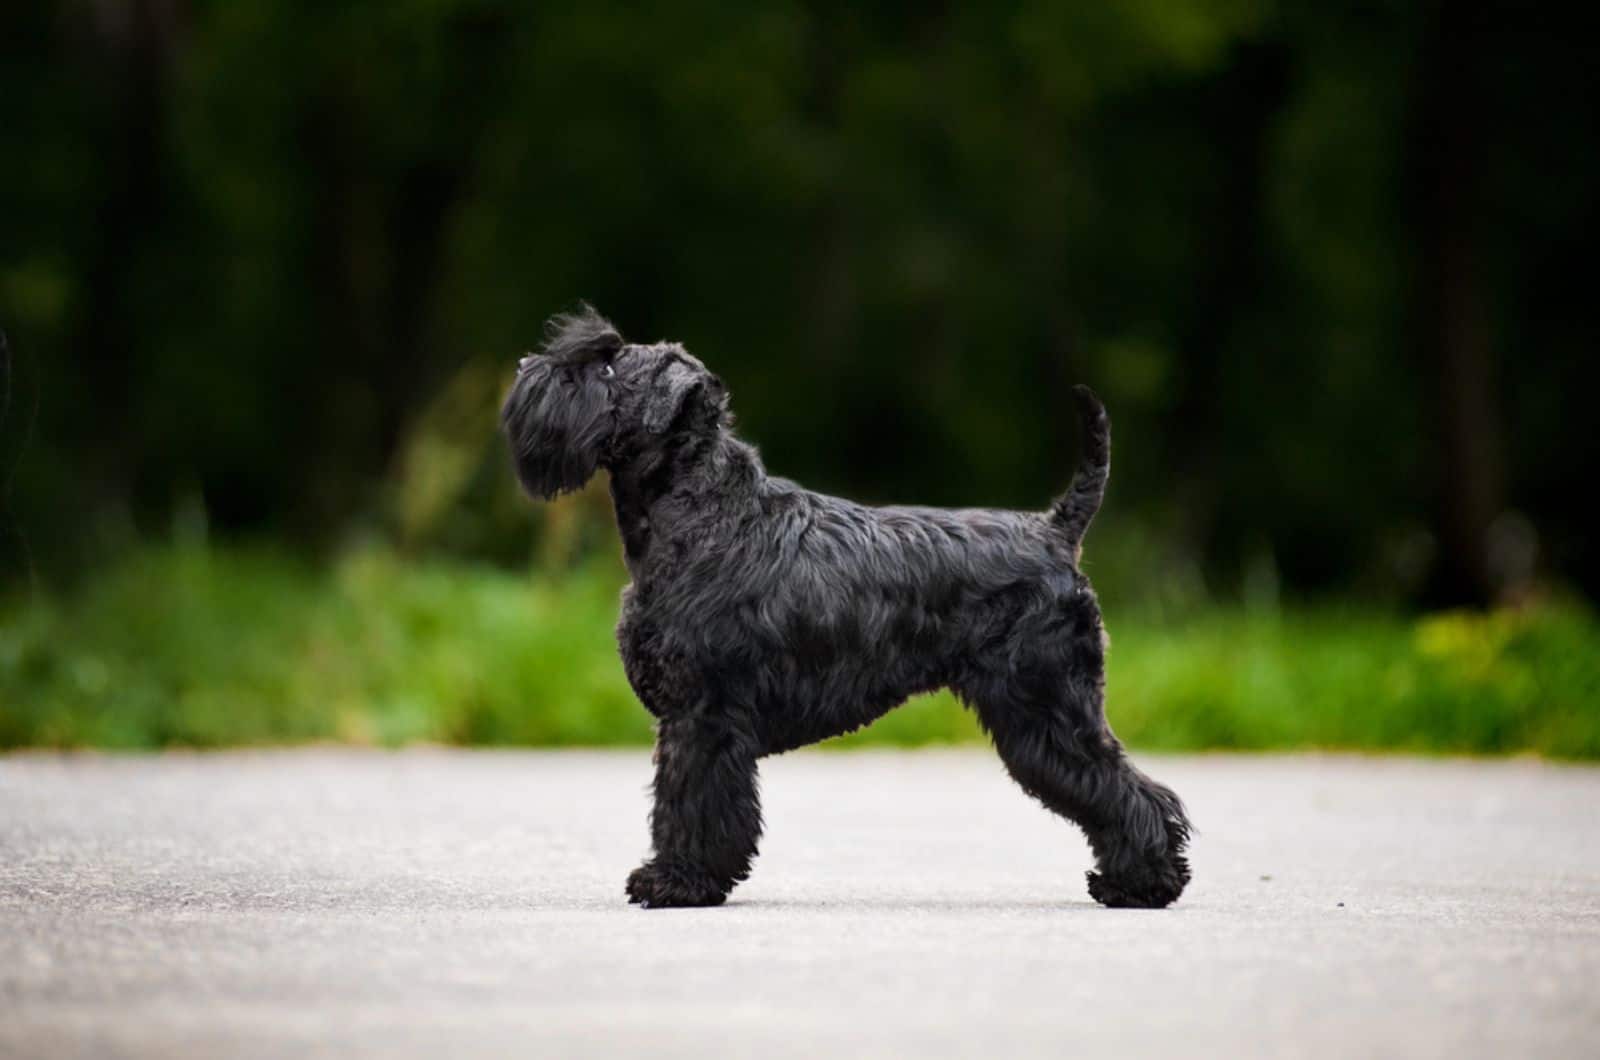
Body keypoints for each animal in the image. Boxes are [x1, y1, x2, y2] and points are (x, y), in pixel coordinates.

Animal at [499, 307, 1190, 915]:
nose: (525, 367)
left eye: (608, 365)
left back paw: (1142, 885)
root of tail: (1054, 532)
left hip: (1046, 707)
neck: (704, 513)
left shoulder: (702, 715)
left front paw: (676, 881)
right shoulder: (693, 717)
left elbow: (690, 803)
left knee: (1127, 790)